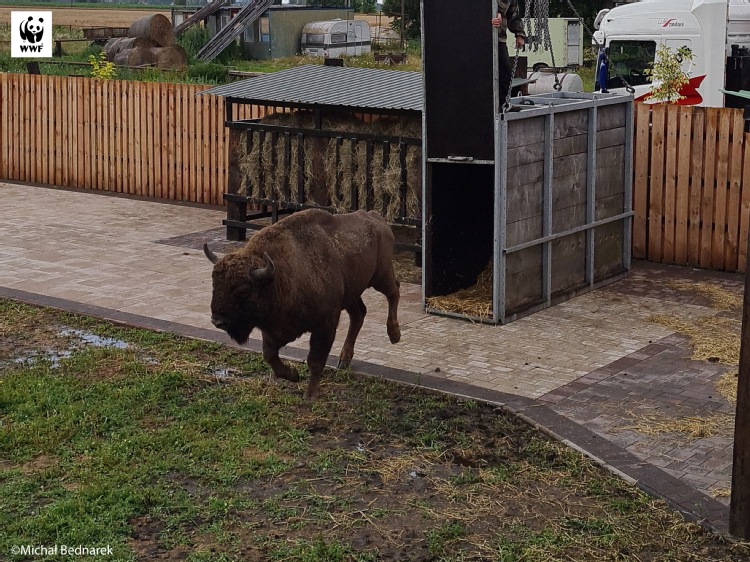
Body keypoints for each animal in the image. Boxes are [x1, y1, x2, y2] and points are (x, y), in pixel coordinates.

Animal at [206, 209, 402, 398]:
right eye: (214, 284)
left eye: (243, 290)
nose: (217, 320)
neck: (279, 276)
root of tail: (376, 218)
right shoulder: (275, 330)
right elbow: (270, 355)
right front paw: (294, 375)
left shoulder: (324, 326)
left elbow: (315, 360)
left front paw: (310, 395)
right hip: (351, 294)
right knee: (359, 314)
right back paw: (344, 360)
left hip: (381, 276)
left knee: (394, 291)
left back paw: (394, 335)